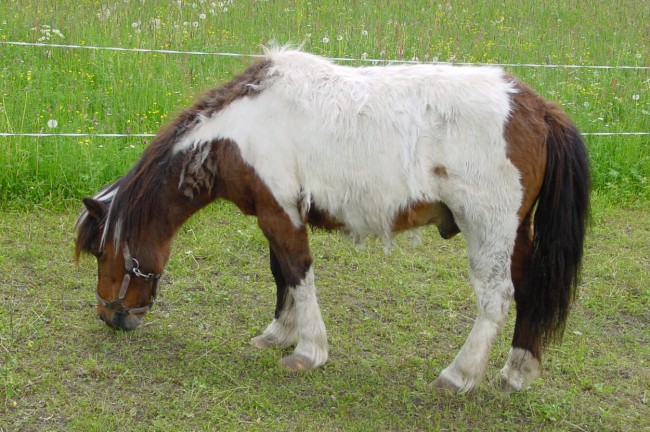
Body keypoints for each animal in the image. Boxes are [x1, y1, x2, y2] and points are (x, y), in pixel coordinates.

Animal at [75, 47, 590, 393]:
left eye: (101, 252)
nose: (108, 317)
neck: (240, 131)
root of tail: (539, 109)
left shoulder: (282, 214)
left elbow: (298, 273)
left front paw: (308, 351)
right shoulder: (274, 213)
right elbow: (280, 273)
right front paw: (279, 334)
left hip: (487, 230)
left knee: (496, 299)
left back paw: (458, 375)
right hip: (514, 233)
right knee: (528, 289)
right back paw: (516, 372)